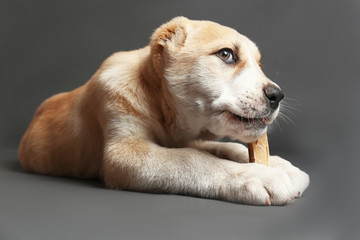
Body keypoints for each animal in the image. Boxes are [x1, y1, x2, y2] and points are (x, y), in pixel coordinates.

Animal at [17, 16, 310, 205]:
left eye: (259, 64)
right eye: (226, 54)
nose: (277, 96)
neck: (157, 101)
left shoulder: (188, 138)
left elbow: (224, 148)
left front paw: (280, 166)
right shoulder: (123, 154)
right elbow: (192, 159)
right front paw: (257, 176)